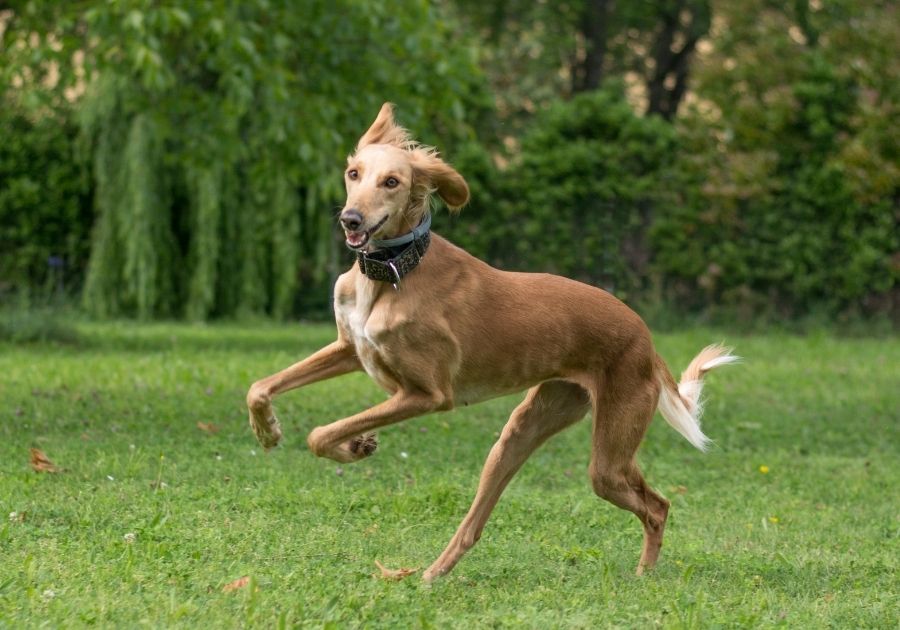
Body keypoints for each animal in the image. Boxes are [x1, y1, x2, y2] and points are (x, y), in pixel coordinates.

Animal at [243, 103, 736, 584]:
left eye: (392, 181)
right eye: (354, 173)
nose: (351, 219)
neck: (395, 273)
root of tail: (646, 337)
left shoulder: (427, 395)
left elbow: (319, 434)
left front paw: (352, 446)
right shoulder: (349, 349)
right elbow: (259, 387)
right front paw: (270, 431)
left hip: (608, 456)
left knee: (657, 505)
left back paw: (644, 576)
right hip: (523, 432)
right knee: (475, 525)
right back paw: (432, 573)